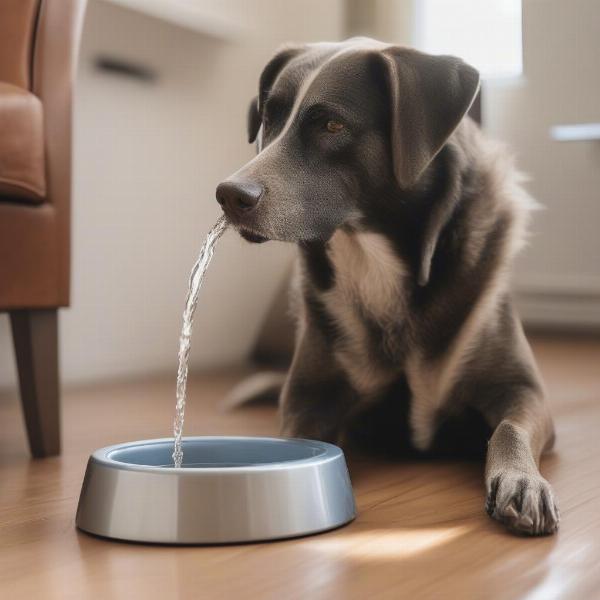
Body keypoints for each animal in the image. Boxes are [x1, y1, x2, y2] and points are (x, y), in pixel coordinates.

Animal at [214, 37, 556, 536]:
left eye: (332, 125)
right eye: (269, 118)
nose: (229, 194)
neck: (374, 259)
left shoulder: (522, 389)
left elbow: (509, 428)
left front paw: (522, 482)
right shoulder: (308, 398)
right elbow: (298, 440)